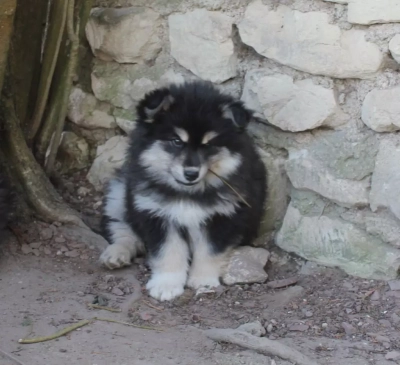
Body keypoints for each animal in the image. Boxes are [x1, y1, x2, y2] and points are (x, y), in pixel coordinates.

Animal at [99, 81, 268, 300]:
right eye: (177, 141)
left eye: (208, 144)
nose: (191, 173)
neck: (187, 193)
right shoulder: (156, 214)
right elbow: (168, 252)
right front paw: (166, 284)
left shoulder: (222, 217)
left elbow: (209, 252)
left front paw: (203, 280)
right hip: (120, 190)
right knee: (123, 228)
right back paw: (116, 254)